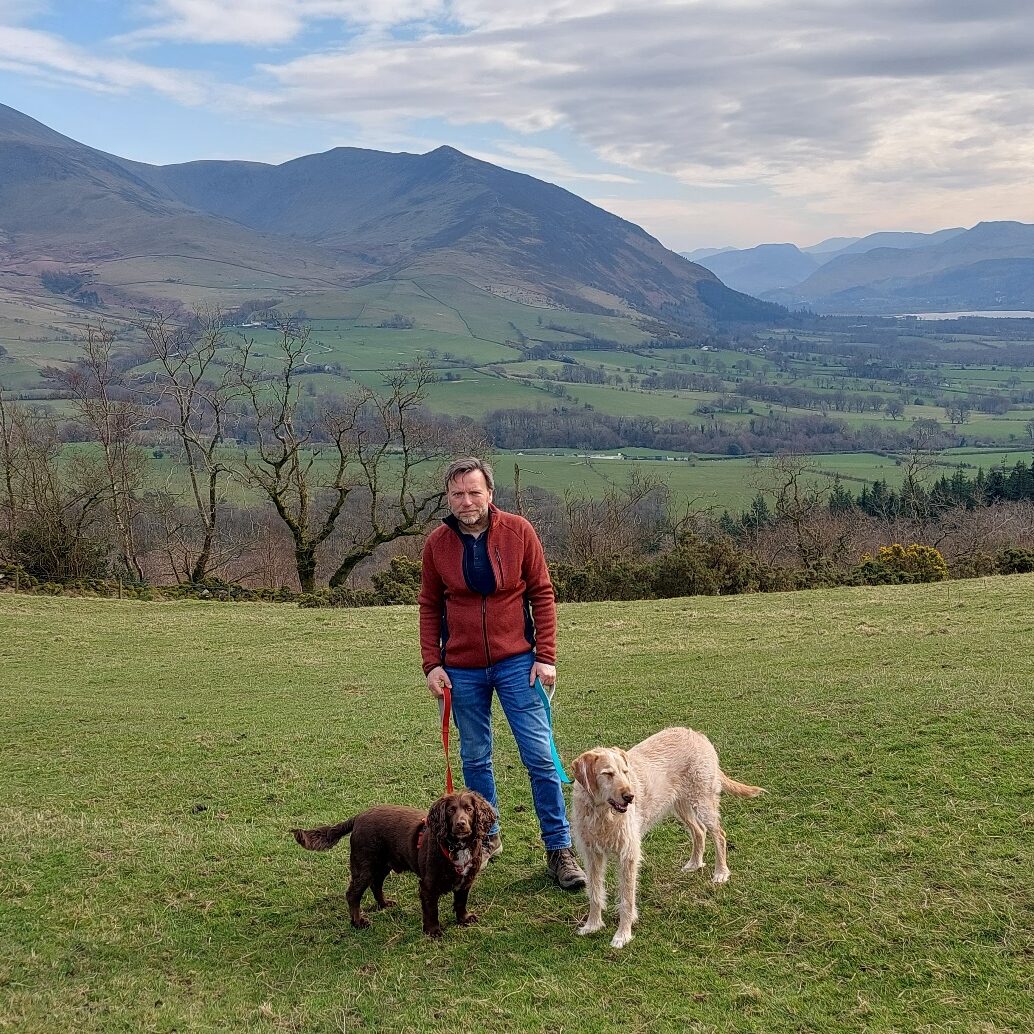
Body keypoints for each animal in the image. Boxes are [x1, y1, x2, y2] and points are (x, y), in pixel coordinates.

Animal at [289, 789, 494, 938]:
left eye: (469, 809)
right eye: (451, 810)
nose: (461, 824)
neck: (457, 846)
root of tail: (358, 817)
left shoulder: (466, 880)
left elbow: (460, 902)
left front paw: (464, 919)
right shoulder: (428, 885)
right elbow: (431, 910)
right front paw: (433, 931)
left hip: (381, 865)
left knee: (375, 884)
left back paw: (384, 904)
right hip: (364, 865)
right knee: (352, 894)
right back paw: (358, 922)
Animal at [570, 727, 765, 947]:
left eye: (625, 772)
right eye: (607, 774)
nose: (630, 797)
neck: (601, 813)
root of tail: (697, 734)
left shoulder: (628, 855)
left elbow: (626, 899)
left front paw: (623, 934)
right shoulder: (592, 855)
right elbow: (594, 893)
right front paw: (592, 925)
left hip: (702, 802)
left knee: (720, 835)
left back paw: (721, 872)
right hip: (681, 805)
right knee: (699, 831)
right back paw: (695, 863)